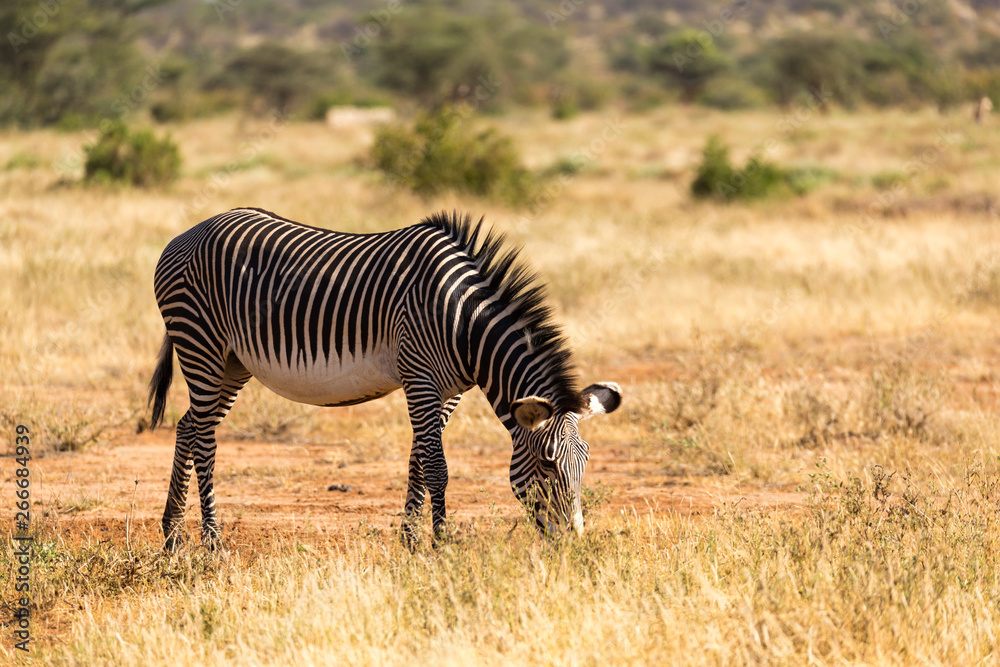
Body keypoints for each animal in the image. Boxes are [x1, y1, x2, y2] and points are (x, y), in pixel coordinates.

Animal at [148, 207, 621, 549]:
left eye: (586, 462)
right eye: (548, 463)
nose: (572, 543)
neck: (464, 322)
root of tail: (191, 231)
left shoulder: (447, 392)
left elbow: (417, 461)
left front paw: (409, 542)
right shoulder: (420, 377)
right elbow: (437, 467)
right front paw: (440, 545)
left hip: (232, 363)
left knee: (188, 426)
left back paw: (172, 535)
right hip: (202, 344)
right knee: (204, 439)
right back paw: (212, 542)